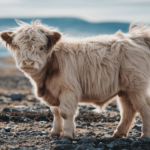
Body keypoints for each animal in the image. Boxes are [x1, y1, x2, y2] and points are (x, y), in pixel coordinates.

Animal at [0, 20, 150, 139]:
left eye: (42, 47)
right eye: (17, 46)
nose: (28, 62)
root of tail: (136, 37)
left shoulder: (69, 90)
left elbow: (65, 113)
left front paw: (66, 135)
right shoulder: (54, 92)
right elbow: (56, 113)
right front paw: (55, 133)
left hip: (137, 86)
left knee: (144, 108)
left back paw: (145, 135)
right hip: (125, 89)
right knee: (128, 110)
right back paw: (118, 134)